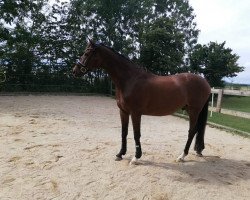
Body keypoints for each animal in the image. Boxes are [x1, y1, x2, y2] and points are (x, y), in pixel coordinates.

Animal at [73, 40, 211, 164]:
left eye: (87, 53)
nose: (75, 70)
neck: (130, 80)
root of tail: (205, 82)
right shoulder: (123, 112)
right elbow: (124, 132)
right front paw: (120, 154)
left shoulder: (135, 113)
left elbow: (136, 134)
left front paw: (136, 157)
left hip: (193, 111)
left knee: (191, 131)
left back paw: (182, 156)